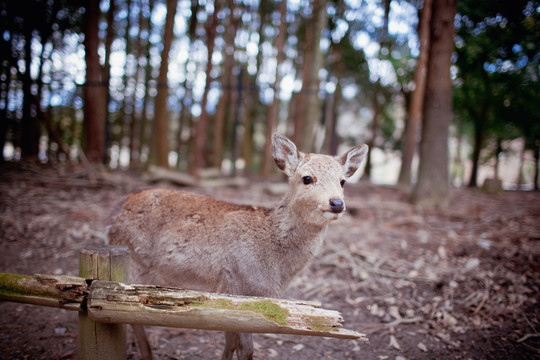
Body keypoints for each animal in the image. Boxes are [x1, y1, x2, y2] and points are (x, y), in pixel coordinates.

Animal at [106, 134, 368, 360]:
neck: (276, 268)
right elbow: (245, 349)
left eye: (343, 181)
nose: (337, 203)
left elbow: (230, 342)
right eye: (307, 178)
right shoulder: (238, 286)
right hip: (133, 265)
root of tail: (112, 215)